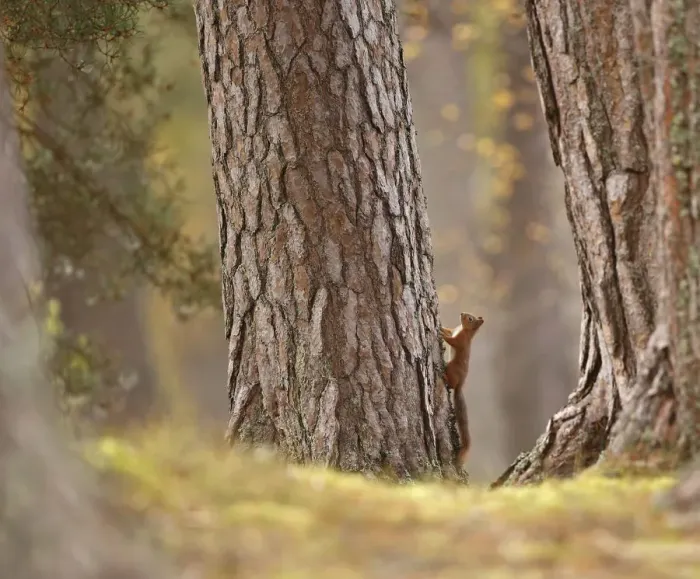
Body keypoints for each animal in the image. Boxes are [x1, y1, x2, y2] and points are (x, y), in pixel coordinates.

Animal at [440, 312, 483, 470]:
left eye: (470, 319)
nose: (462, 313)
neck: (463, 330)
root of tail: (461, 384)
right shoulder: (454, 330)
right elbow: (448, 330)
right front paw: (441, 327)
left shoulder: (459, 341)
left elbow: (451, 341)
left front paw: (440, 334)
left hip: (452, 369)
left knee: (451, 385)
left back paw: (444, 377)